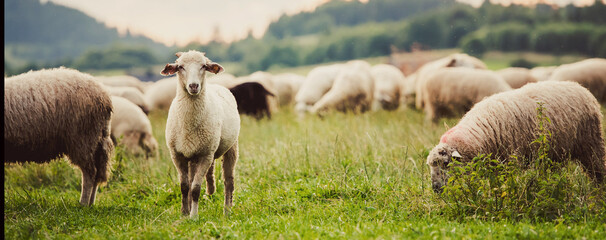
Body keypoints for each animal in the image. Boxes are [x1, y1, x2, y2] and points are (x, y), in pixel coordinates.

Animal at [4, 67, 113, 206]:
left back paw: (83, 204)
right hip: (97, 139)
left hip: (83, 138)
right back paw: (90, 203)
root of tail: (104, 95)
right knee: (97, 173)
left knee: (90, 173)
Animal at [162, 49, 242, 217]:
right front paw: (184, 213)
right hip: (193, 155)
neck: (188, 124)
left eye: (204, 66)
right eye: (180, 67)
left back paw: (227, 210)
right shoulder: (177, 155)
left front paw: (194, 216)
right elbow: (185, 186)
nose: (193, 86)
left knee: (228, 181)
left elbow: (195, 188)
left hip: (231, 147)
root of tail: (218, 85)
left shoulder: (206, 155)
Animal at [430, 80, 604, 193]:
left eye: (446, 163)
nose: (435, 188)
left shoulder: (511, 161)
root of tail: (579, 87)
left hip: (591, 143)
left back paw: (599, 190)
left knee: (597, 169)